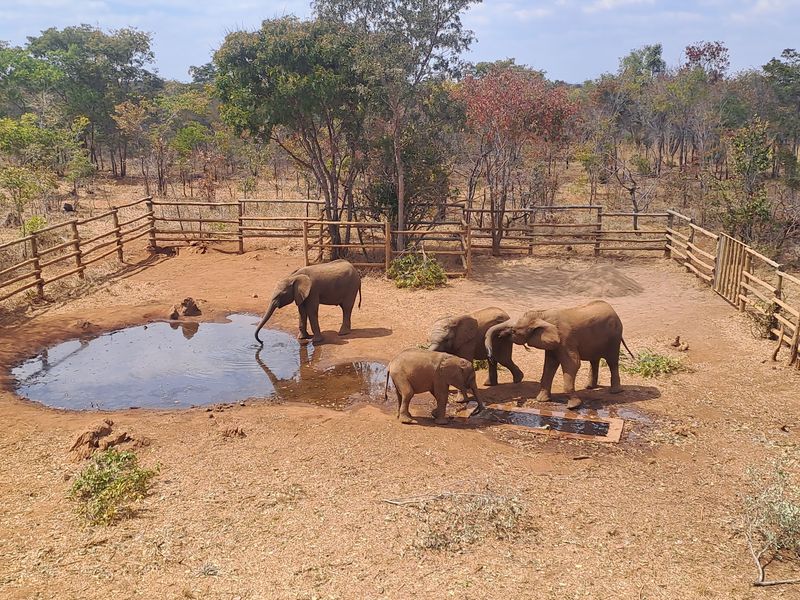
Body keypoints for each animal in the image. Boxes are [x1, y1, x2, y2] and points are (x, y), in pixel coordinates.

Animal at [497, 300, 634, 410]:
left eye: (514, 331)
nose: (500, 336)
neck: (542, 315)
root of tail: (612, 309)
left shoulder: (566, 339)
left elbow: (573, 364)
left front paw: (573, 406)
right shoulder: (553, 342)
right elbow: (549, 365)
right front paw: (542, 400)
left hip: (614, 336)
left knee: (612, 361)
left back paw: (615, 391)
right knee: (594, 359)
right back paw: (589, 387)